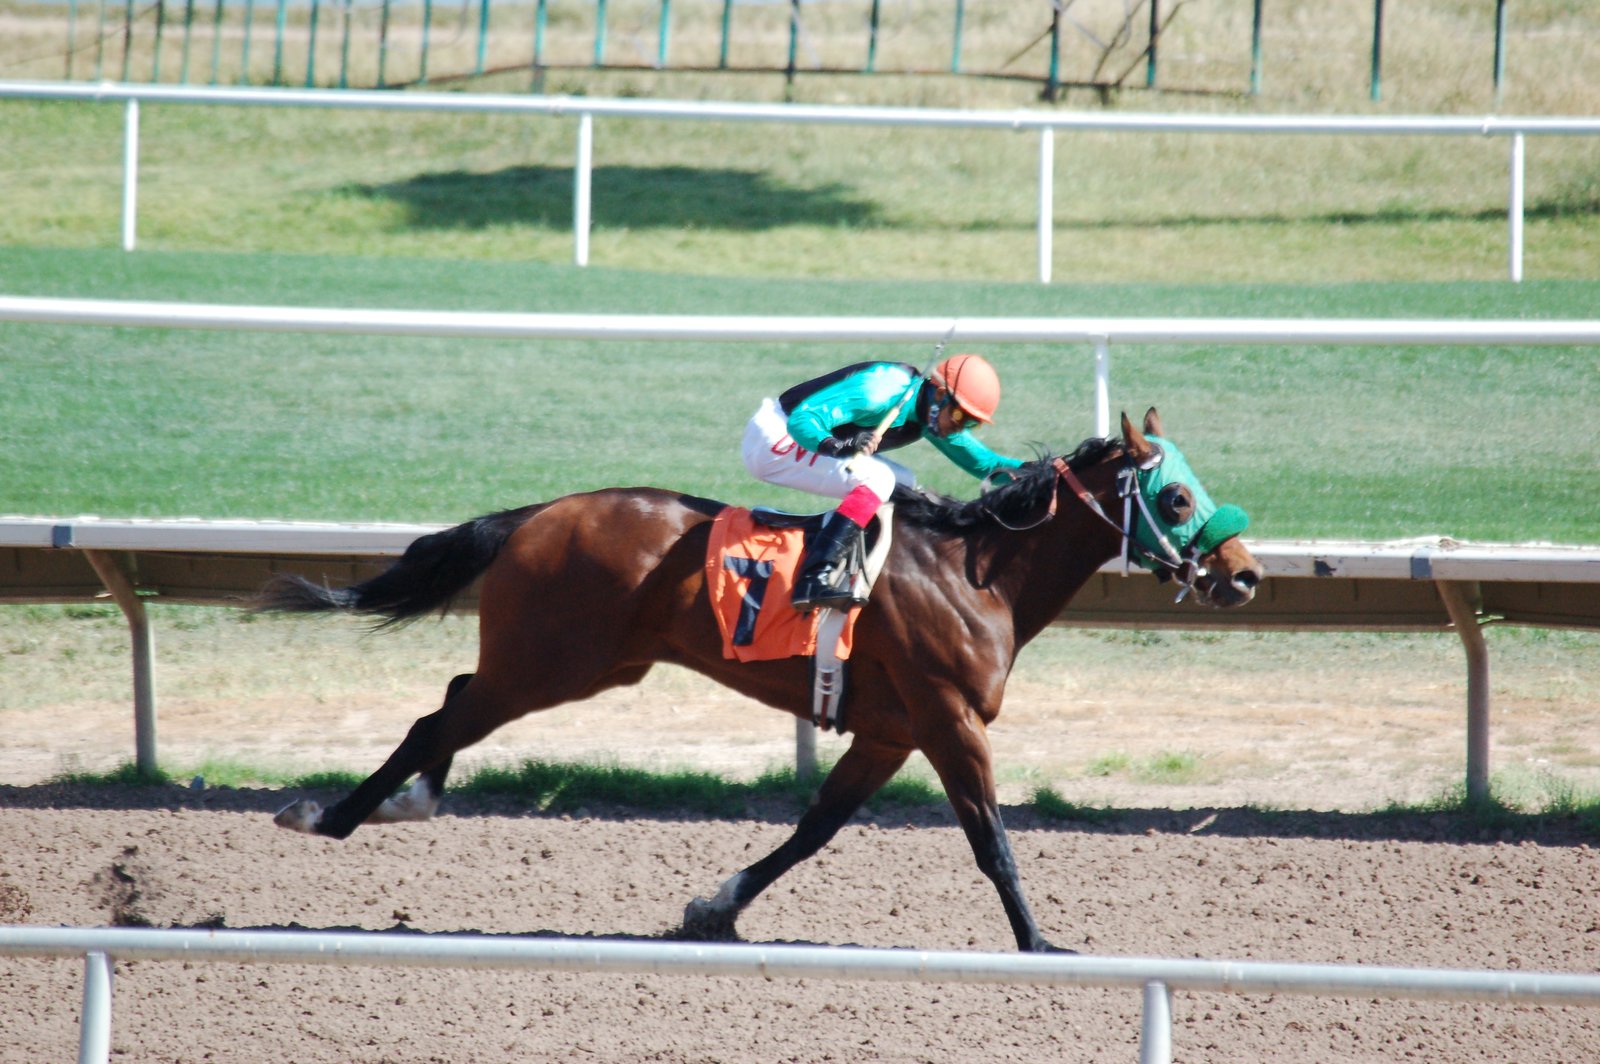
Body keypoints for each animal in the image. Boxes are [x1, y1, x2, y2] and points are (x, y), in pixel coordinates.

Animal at [259, 408, 1262, 953]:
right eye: (1176, 497)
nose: (1245, 573)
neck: (975, 573)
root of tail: (536, 514)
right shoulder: (947, 719)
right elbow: (991, 841)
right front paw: (1040, 940)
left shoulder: (891, 729)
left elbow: (815, 828)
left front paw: (715, 907)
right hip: (551, 664)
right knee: (441, 720)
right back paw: (331, 813)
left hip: (578, 662)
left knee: (451, 701)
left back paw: (400, 802)